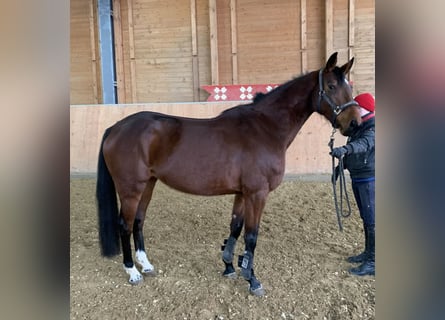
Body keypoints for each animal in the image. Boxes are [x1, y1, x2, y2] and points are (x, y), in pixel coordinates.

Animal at [95, 52, 360, 296]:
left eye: (349, 86)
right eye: (331, 86)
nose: (355, 123)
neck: (265, 128)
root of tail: (115, 128)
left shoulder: (242, 193)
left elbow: (235, 228)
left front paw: (230, 266)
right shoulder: (257, 193)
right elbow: (251, 235)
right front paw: (253, 280)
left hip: (148, 184)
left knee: (138, 221)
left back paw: (146, 265)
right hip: (131, 188)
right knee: (125, 224)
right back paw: (132, 271)